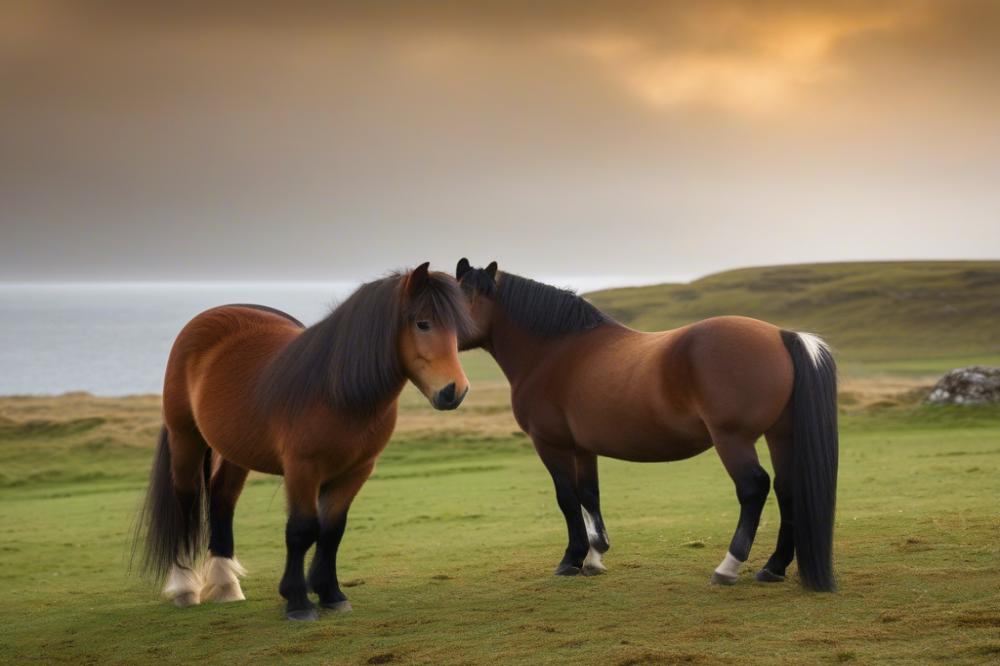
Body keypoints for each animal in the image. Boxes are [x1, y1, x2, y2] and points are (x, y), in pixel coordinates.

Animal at [133, 264, 472, 616]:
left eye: (456, 329)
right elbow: (302, 529)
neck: (336, 391)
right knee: (184, 503)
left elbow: (332, 531)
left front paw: (330, 593)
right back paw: (184, 586)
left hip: (235, 452)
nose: (455, 390)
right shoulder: (302, 469)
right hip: (185, 438)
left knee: (222, 499)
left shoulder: (356, 470)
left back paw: (226, 583)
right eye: (423, 323)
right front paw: (297, 600)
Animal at [456, 260, 836, 592]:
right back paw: (773, 567)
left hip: (733, 439)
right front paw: (595, 558)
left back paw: (728, 568)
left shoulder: (552, 444)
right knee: (787, 487)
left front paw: (571, 560)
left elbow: (567, 498)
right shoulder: (583, 448)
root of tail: (781, 334)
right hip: (780, 435)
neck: (554, 351)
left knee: (754, 488)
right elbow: (589, 496)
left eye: (459, 298)